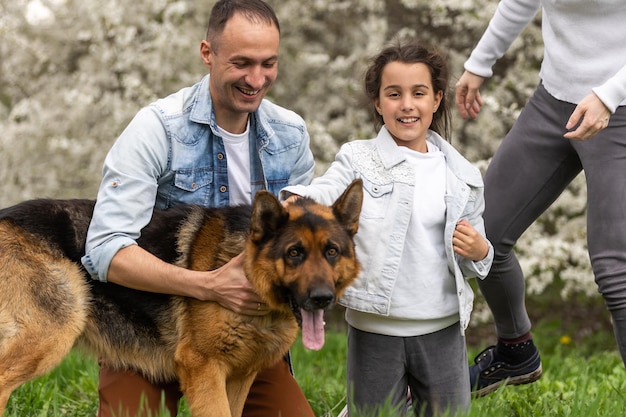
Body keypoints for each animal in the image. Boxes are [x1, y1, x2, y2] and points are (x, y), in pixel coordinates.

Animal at [0, 179, 360, 416]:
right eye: (294, 253)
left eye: (331, 252)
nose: (322, 298)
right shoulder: (203, 368)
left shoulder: (239, 377)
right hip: (52, 332)